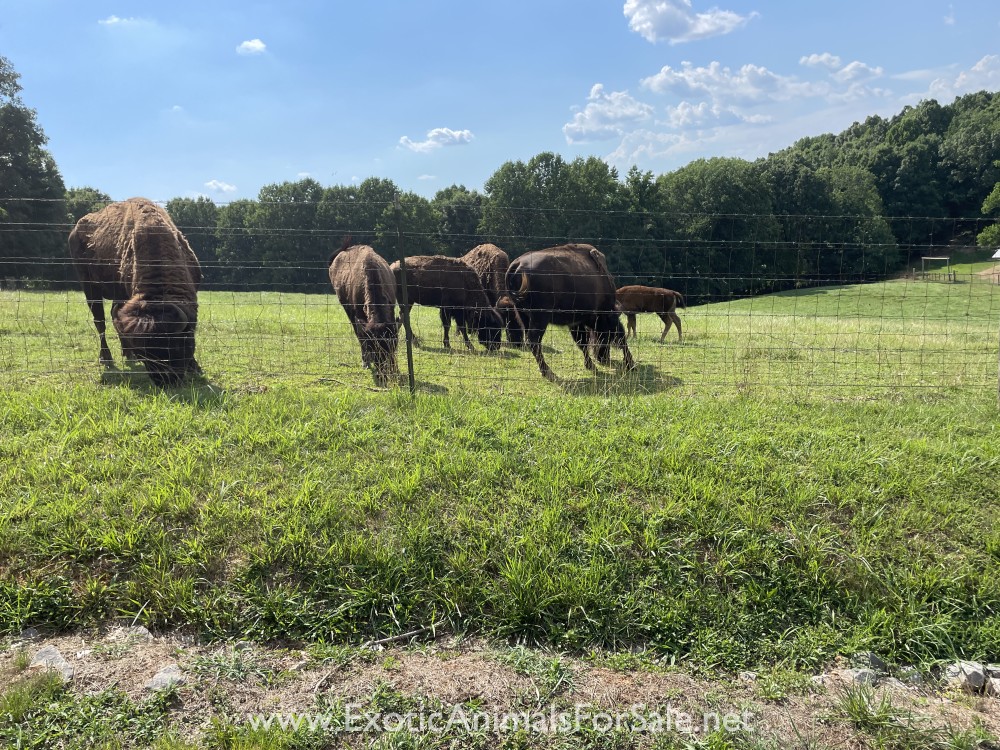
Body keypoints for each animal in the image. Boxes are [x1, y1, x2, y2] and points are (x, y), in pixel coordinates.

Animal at [68, 197, 201, 386]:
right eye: (145, 354)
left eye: (173, 345)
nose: (164, 380)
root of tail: (75, 230)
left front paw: (195, 367)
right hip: (89, 286)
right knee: (100, 321)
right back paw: (106, 358)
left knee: (112, 316)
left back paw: (127, 353)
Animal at [328, 241, 400, 386]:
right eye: (373, 347)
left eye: (393, 346)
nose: (382, 376)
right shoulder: (358, 317)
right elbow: (361, 337)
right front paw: (366, 362)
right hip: (347, 309)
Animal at [506, 243, 635, 380]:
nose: (602, 358)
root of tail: (517, 264)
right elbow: (620, 337)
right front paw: (631, 364)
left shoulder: (576, 322)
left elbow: (582, 342)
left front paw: (590, 365)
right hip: (540, 317)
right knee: (534, 341)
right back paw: (548, 372)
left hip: (522, 314)